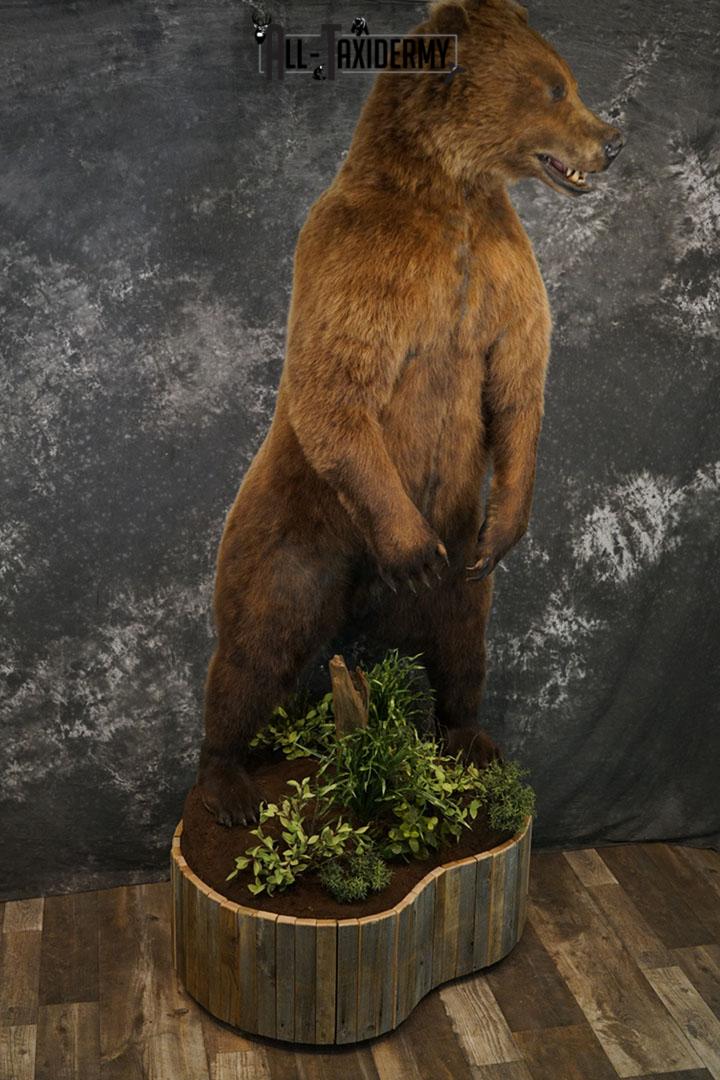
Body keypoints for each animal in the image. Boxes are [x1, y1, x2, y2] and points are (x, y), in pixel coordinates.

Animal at [197, 0, 624, 826]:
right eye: (554, 87)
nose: (614, 139)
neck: (450, 193)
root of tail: (358, 604)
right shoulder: (360, 261)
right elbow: (336, 386)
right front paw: (411, 550)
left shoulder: (501, 269)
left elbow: (519, 382)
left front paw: (510, 521)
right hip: (291, 536)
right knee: (254, 646)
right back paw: (225, 783)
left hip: (461, 563)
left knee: (462, 646)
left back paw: (471, 741)